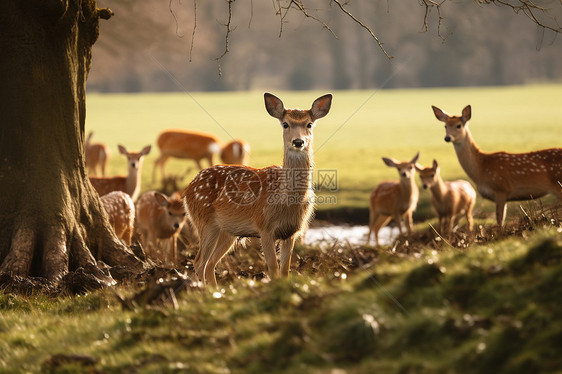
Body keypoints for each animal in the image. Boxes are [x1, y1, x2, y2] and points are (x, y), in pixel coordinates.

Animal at [182, 93, 330, 286]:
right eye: (285, 124)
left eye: (309, 124)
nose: (298, 142)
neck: (286, 202)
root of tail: (187, 189)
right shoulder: (264, 227)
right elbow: (273, 269)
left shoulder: (291, 232)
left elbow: (285, 270)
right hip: (205, 221)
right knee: (199, 261)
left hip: (228, 231)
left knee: (210, 263)